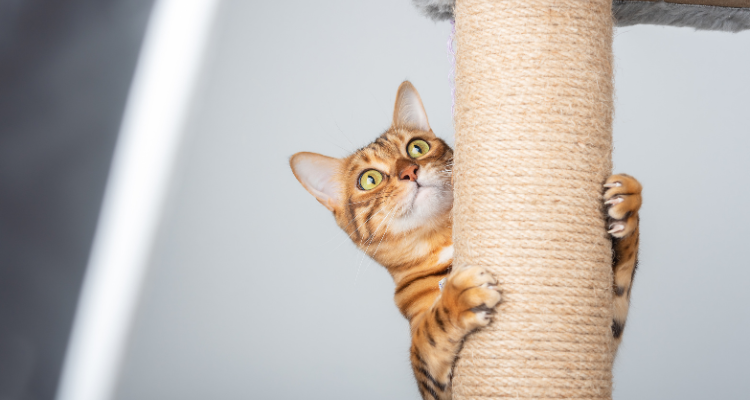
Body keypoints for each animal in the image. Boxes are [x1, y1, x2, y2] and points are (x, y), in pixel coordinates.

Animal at [290, 81, 644, 400]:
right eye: (369, 179)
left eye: (416, 147)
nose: (409, 171)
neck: (443, 242)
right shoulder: (436, 383)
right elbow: (428, 334)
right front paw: (459, 296)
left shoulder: (608, 332)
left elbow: (621, 283)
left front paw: (627, 205)